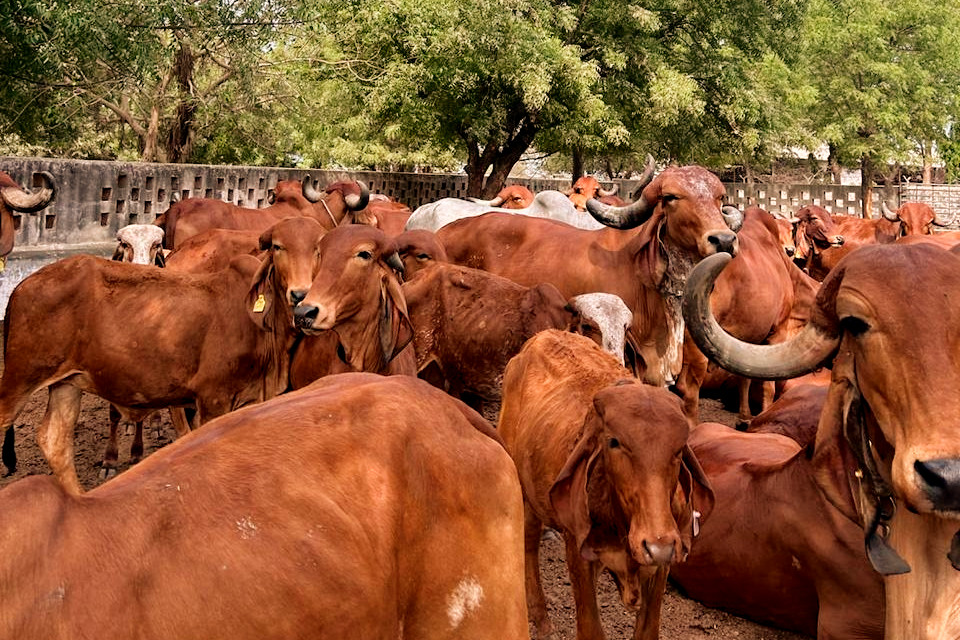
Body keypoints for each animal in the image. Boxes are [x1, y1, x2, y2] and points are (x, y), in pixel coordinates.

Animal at [0, 216, 327, 494]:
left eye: (318, 249)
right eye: (278, 247)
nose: (300, 295)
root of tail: (22, 286)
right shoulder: (213, 400)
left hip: (67, 382)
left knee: (54, 442)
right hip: (20, 377)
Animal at [498, 330, 714, 640]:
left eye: (678, 449)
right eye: (614, 442)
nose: (656, 544)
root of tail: (543, 335)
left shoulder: (660, 568)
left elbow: (647, 631)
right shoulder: (578, 554)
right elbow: (591, 629)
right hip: (525, 491)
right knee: (528, 543)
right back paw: (541, 619)